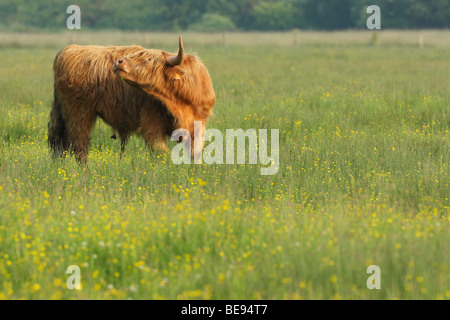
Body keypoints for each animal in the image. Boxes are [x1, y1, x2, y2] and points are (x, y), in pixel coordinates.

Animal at [48, 36, 215, 164]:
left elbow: (194, 154)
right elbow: (159, 152)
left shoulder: (198, 125)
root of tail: (68, 50)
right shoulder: (152, 123)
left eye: (148, 59)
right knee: (79, 145)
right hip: (79, 113)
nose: (118, 62)